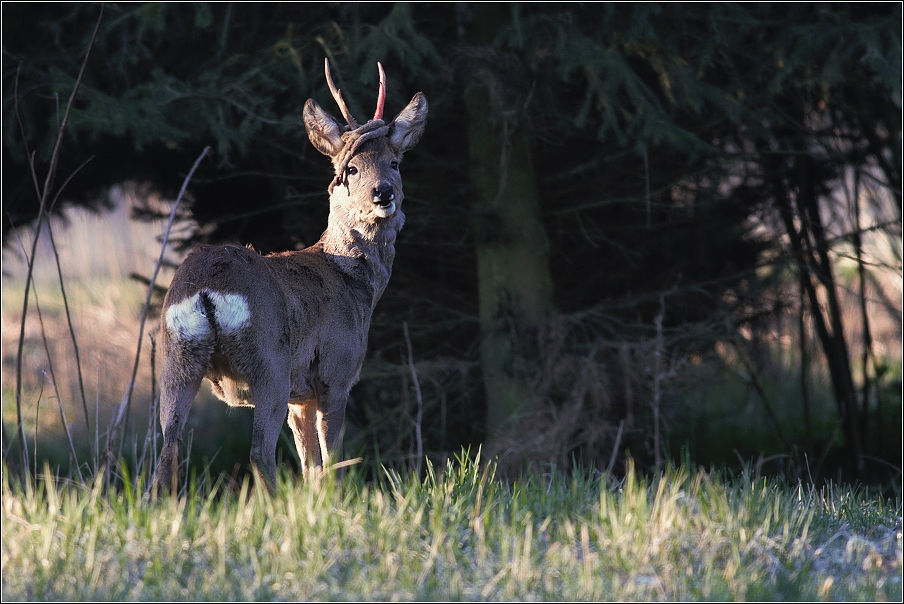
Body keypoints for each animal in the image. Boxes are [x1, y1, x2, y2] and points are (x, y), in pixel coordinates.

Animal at [152, 60, 428, 490]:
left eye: (395, 163)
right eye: (351, 169)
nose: (383, 193)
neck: (353, 281)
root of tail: (205, 289)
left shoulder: (302, 396)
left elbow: (309, 465)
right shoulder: (336, 373)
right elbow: (332, 462)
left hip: (175, 357)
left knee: (167, 449)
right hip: (270, 364)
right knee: (258, 452)